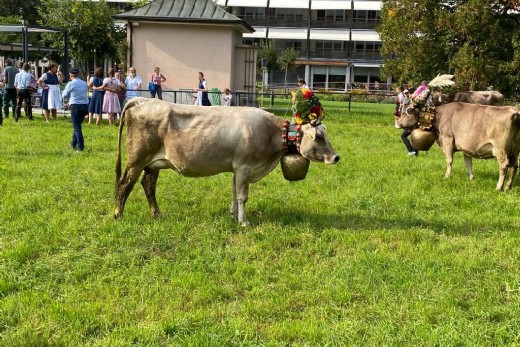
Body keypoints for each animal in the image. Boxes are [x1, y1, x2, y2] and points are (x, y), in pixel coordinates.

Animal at [114, 98, 340, 228]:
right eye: (319, 137)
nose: (336, 157)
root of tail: (143, 100)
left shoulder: (236, 169)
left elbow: (233, 192)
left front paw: (232, 214)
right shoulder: (244, 167)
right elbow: (242, 196)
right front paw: (243, 222)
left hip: (153, 163)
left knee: (148, 185)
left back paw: (157, 214)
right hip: (136, 159)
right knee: (125, 184)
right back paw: (118, 215)